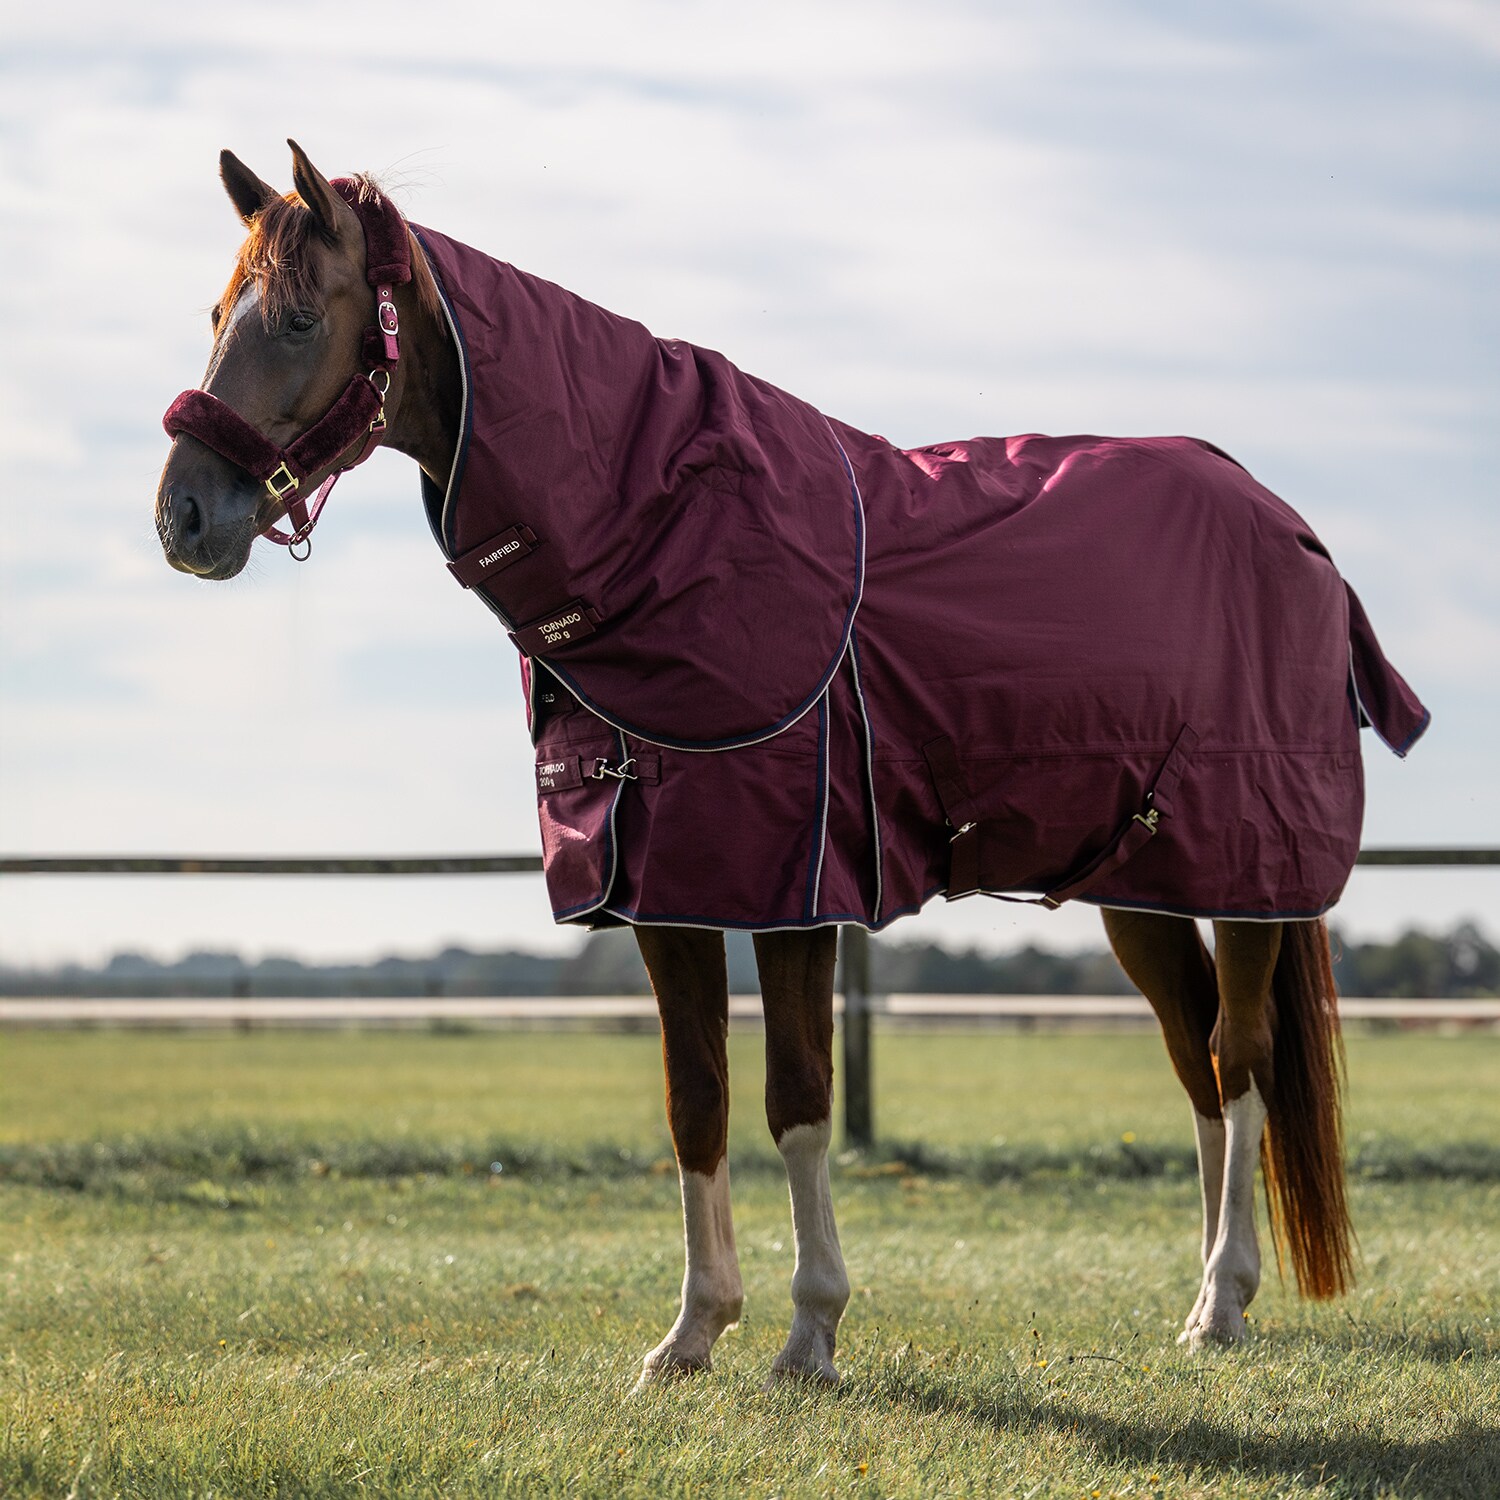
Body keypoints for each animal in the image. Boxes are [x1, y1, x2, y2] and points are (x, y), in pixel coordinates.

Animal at [155, 141, 1428, 1380]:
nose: (183, 518)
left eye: (298, 321)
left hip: (1252, 878)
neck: (676, 541)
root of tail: (1291, 530)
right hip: (1139, 885)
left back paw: (1223, 1300)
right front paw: (692, 1332)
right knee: (1196, 1064)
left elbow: (798, 1100)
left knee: (1240, 1056)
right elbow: (698, 1102)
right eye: (216, 311)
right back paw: (1209, 1302)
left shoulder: (797, 891)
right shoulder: (663, 891)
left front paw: (810, 1332)